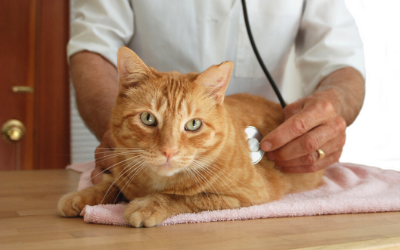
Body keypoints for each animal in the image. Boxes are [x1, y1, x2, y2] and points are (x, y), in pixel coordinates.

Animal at [57, 46, 324, 227]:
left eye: (193, 124)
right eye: (148, 118)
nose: (169, 150)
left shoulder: (243, 197)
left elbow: (185, 198)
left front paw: (148, 204)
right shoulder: (123, 170)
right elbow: (109, 183)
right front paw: (82, 195)